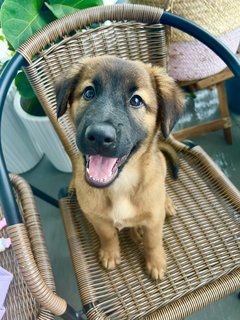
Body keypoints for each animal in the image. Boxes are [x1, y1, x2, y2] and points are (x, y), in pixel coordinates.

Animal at [55, 55, 184, 280]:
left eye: (136, 100)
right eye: (89, 92)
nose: (99, 136)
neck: (120, 186)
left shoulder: (154, 220)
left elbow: (153, 241)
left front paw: (156, 263)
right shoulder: (96, 217)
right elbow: (107, 235)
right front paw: (110, 253)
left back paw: (165, 206)